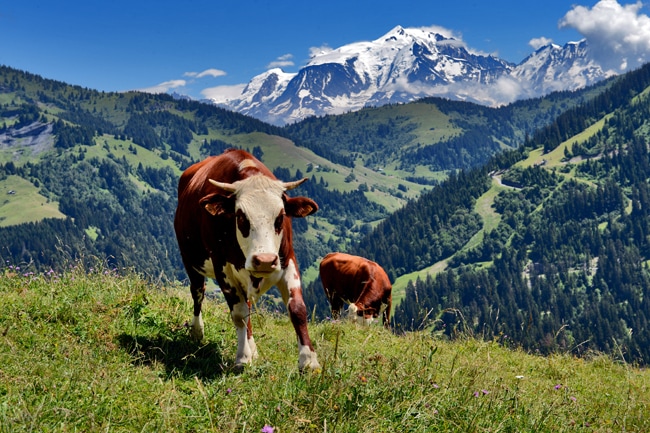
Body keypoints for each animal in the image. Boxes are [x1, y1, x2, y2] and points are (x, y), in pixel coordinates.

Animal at [175, 148, 318, 368]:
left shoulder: (287, 261)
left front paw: (309, 361)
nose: (265, 260)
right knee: (198, 293)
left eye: (280, 217)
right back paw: (197, 331)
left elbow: (298, 309)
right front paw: (242, 357)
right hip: (190, 260)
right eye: (241, 217)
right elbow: (239, 313)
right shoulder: (222, 268)